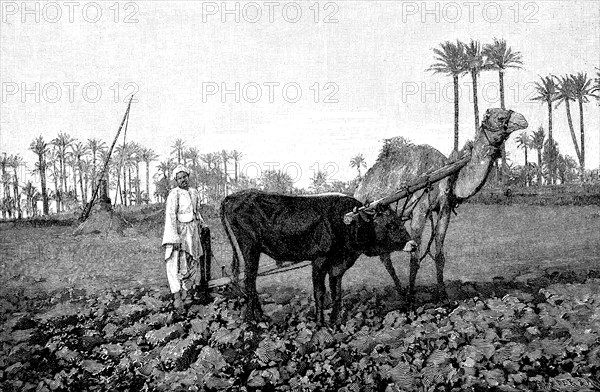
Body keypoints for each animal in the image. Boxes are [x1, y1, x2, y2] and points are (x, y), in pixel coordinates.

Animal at [354, 108, 528, 304]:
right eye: (500, 117)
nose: (523, 120)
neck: (444, 176)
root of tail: (359, 188)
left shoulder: (444, 209)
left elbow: (439, 254)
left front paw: (442, 294)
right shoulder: (420, 210)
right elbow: (414, 256)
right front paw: (412, 297)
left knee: (385, 255)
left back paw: (400, 291)